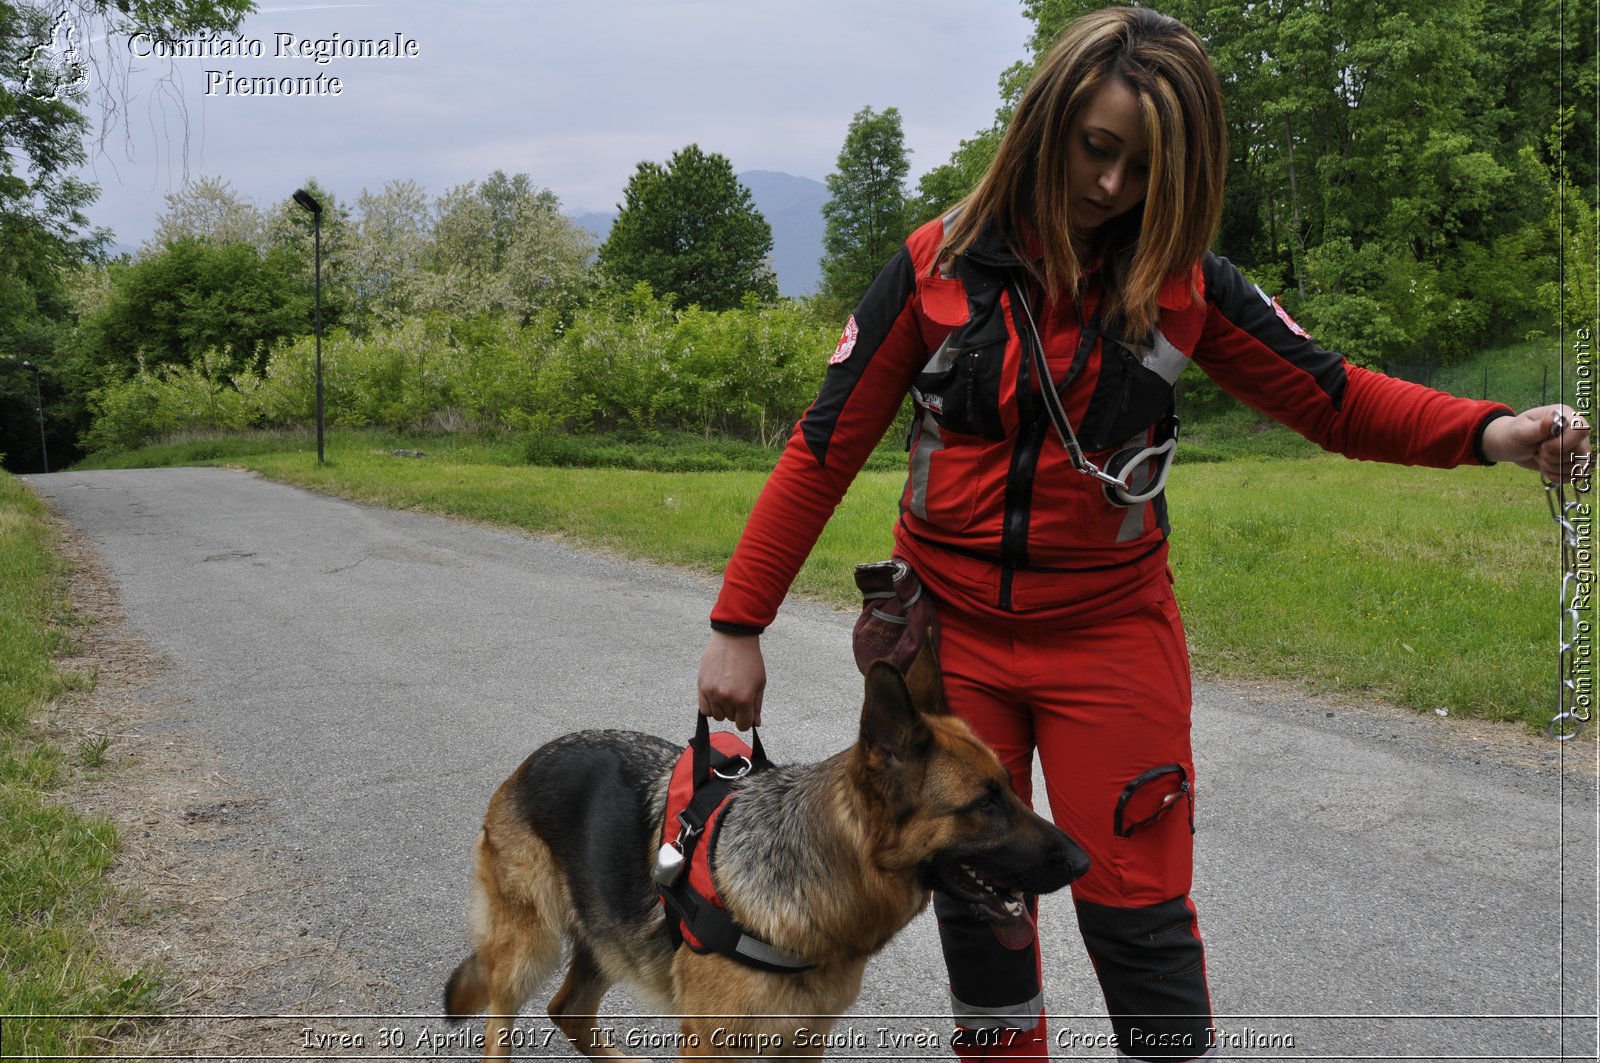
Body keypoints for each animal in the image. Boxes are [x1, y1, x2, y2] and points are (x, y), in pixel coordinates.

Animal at [444, 643, 1081, 1056]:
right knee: (503, 1022)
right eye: (985, 803)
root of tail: (533, 760)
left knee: (568, 1012)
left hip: (608, 941)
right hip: (528, 950)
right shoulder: (713, 1042)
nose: (1083, 861)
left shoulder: (802, 1040)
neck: (821, 877)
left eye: (1011, 788)